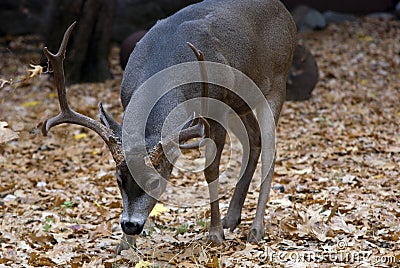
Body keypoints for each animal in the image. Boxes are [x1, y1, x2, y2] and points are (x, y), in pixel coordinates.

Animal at [40, 0, 296, 251]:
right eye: (119, 180)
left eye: (155, 182)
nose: (130, 225)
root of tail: (284, 10)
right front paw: (124, 246)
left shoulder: (215, 111)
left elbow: (211, 170)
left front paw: (215, 234)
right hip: (241, 102)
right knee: (254, 139)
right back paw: (231, 218)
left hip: (276, 82)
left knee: (270, 149)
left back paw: (256, 230)